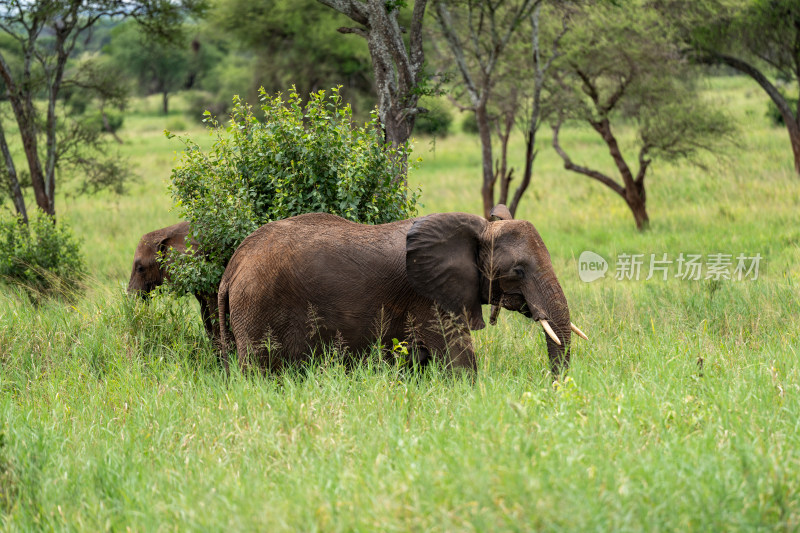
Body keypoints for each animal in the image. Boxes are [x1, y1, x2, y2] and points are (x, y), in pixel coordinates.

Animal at [219, 205, 588, 374]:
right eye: (518, 271)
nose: (554, 387)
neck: (480, 230)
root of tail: (232, 268)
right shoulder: (431, 296)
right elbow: (458, 359)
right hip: (257, 307)